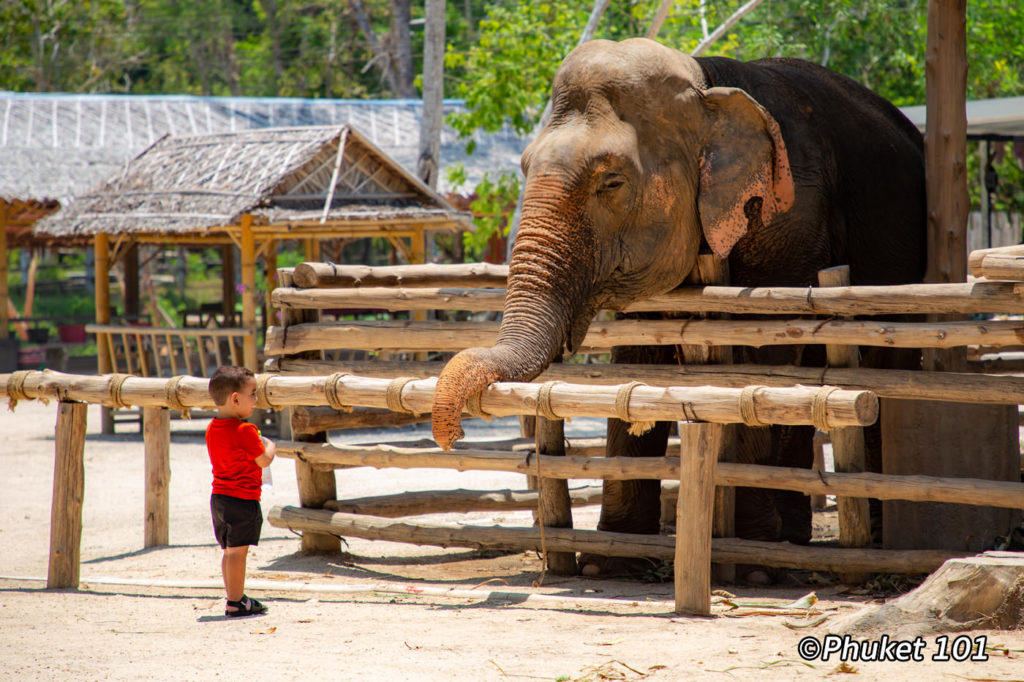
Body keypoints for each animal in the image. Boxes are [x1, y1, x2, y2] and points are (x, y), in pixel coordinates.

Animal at [428, 37, 925, 577]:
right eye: (522, 167)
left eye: (612, 182)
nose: (453, 436)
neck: (704, 85)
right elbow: (642, 355)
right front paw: (608, 563)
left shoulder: (791, 219)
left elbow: (765, 354)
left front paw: (752, 561)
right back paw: (792, 542)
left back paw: (854, 544)